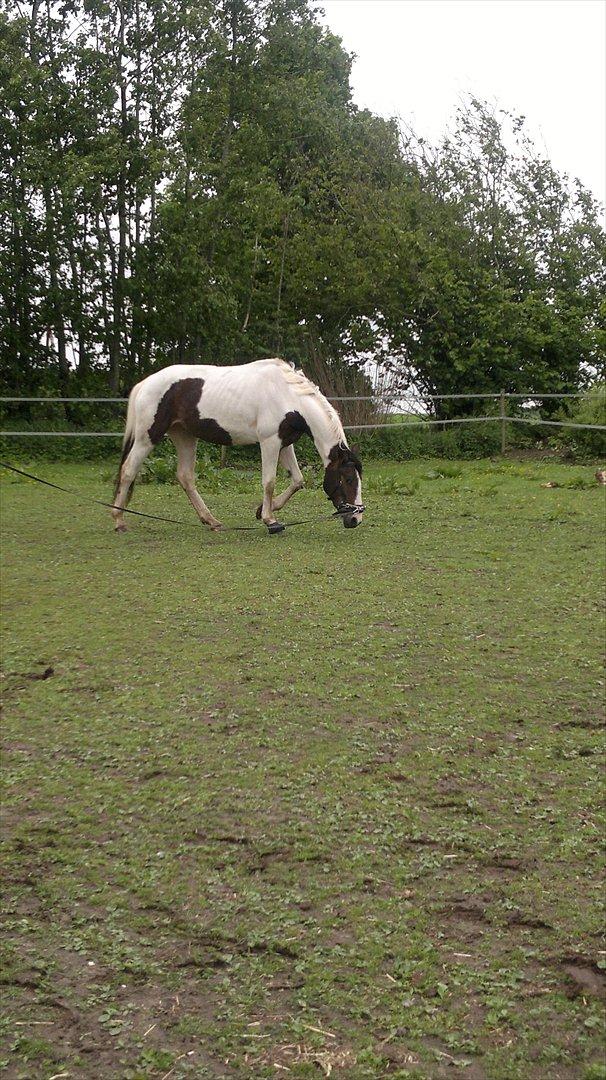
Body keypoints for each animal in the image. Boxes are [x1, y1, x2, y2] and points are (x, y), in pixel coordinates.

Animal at [111, 358, 360, 535]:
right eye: (348, 479)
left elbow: (297, 480)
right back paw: (119, 519)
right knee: (128, 471)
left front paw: (263, 510)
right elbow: (269, 482)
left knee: (185, 477)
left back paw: (211, 521)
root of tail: (145, 383)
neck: (287, 395)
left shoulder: (284, 443)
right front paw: (271, 521)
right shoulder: (269, 442)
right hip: (147, 438)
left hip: (184, 436)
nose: (356, 518)